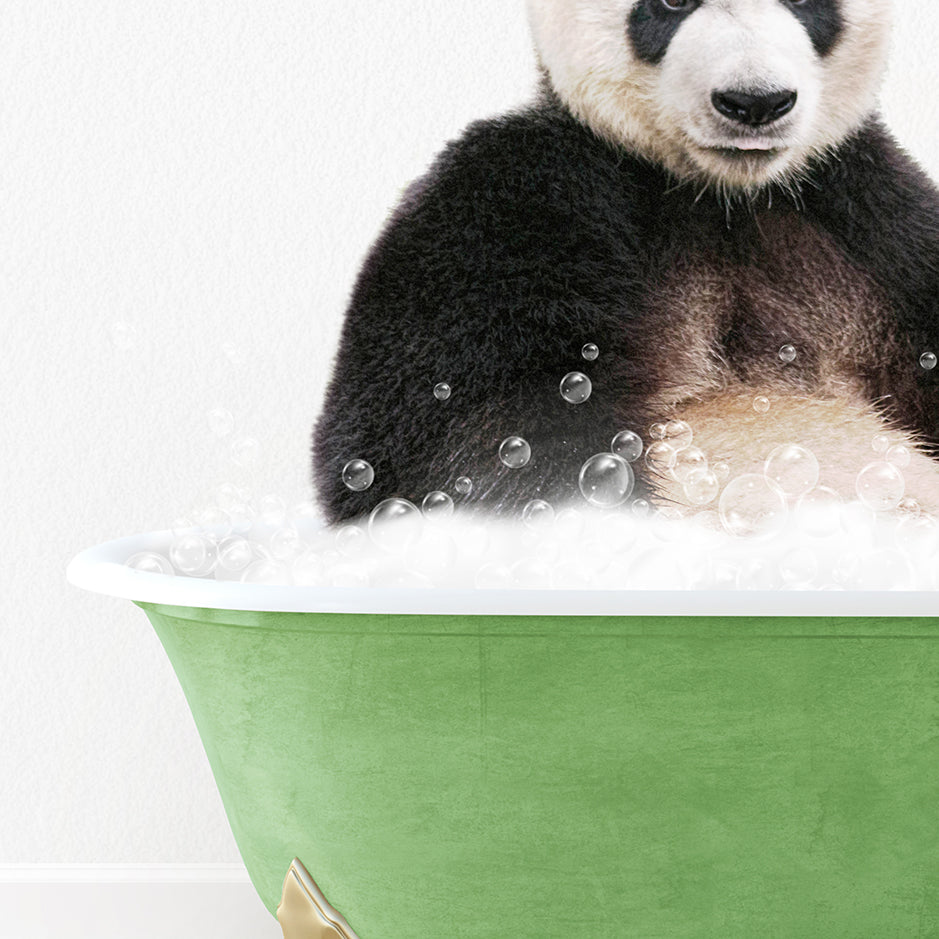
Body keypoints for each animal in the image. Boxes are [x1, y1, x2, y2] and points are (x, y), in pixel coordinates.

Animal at [314, 0, 939, 524]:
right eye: (671, 3)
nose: (754, 101)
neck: (720, 195)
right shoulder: (514, 206)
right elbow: (438, 444)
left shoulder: (872, 215)